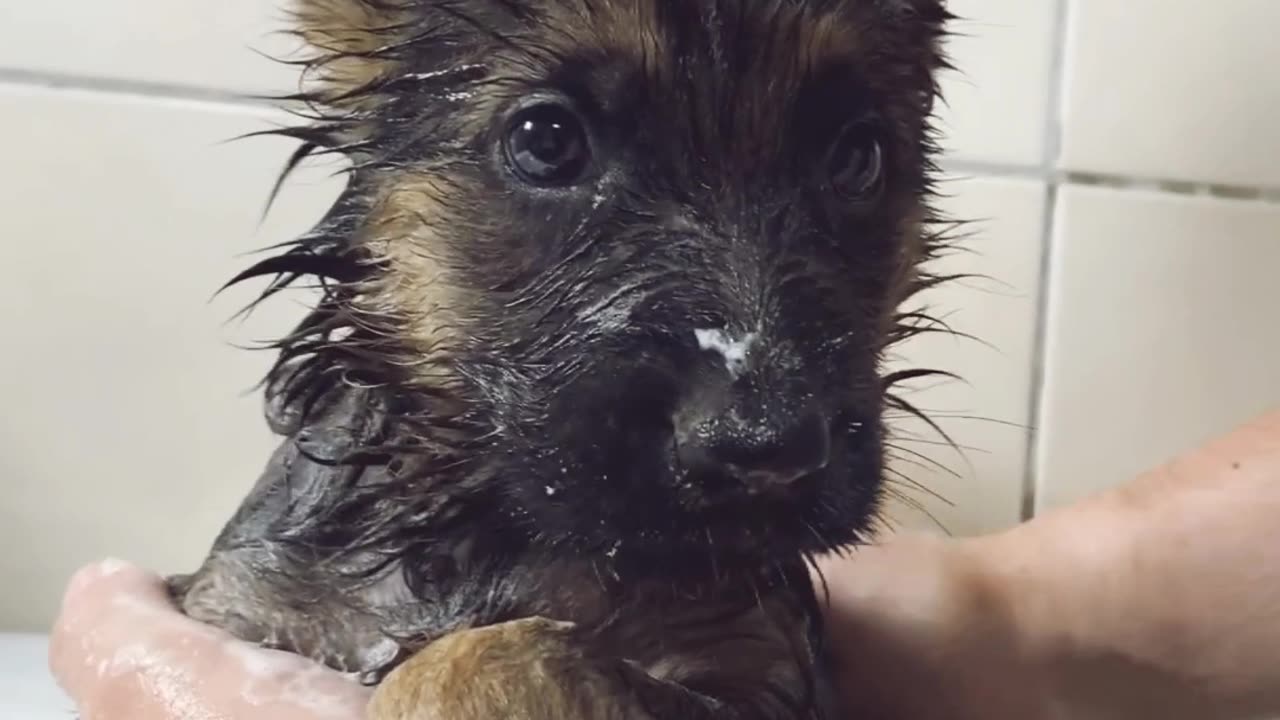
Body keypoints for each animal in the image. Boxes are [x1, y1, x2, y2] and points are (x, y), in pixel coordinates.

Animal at [170, 2, 957, 712]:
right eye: (547, 142)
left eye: (858, 158)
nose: (766, 451)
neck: (485, 527)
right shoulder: (243, 605)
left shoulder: (761, 664)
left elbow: (496, 652)